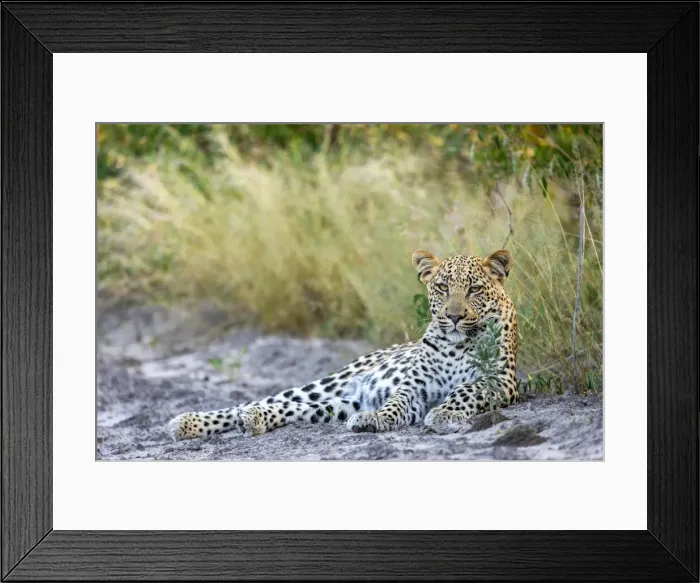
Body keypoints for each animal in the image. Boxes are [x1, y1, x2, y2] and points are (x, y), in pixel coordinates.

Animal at [168, 248, 518, 439]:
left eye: (474, 289)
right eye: (443, 287)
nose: (454, 316)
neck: (457, 345)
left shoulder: (501, 381)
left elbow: (465, 390)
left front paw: (444, 413)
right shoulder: (414, 387)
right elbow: (396, 403)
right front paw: (376, 419)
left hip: (341, 402)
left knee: (293, 409)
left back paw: (253, 419)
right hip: (329, 383)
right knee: (259, 401)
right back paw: (188, 422)